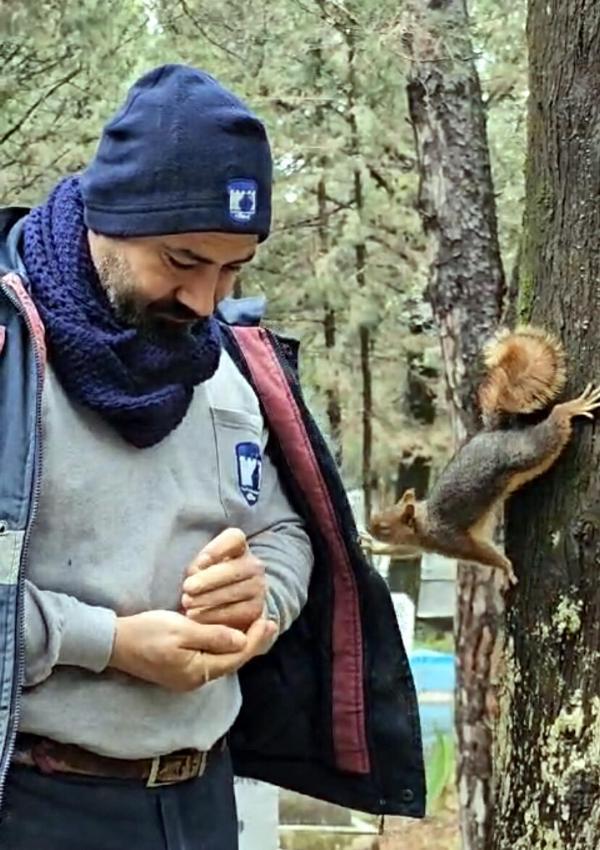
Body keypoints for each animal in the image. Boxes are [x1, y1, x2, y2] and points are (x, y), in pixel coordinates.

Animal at [364, 324, 600, 584]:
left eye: (385, 527)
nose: (368, 528)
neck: (424, 521)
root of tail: (492, 432)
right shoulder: (418, 543)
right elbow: (405, 549)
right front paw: (373, 547)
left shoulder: (449, 540)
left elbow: (483, 554)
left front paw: (505, 567)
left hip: (527, 451)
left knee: (553, 427)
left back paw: (570, 408)